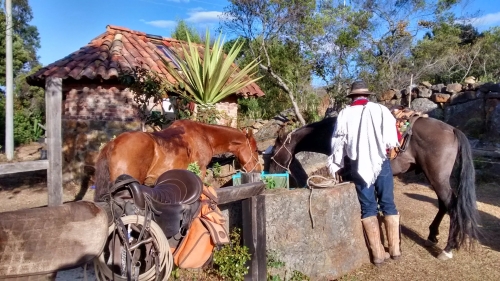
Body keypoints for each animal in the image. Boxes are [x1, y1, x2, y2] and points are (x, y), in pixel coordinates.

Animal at [270, 115, 480, 258]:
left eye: (273, 153)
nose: (272, 174)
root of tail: (452, 130)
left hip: (437, 177)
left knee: (452, 206)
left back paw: (447, 249)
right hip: (436, 178)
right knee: (444, 205)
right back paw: (432, 237)